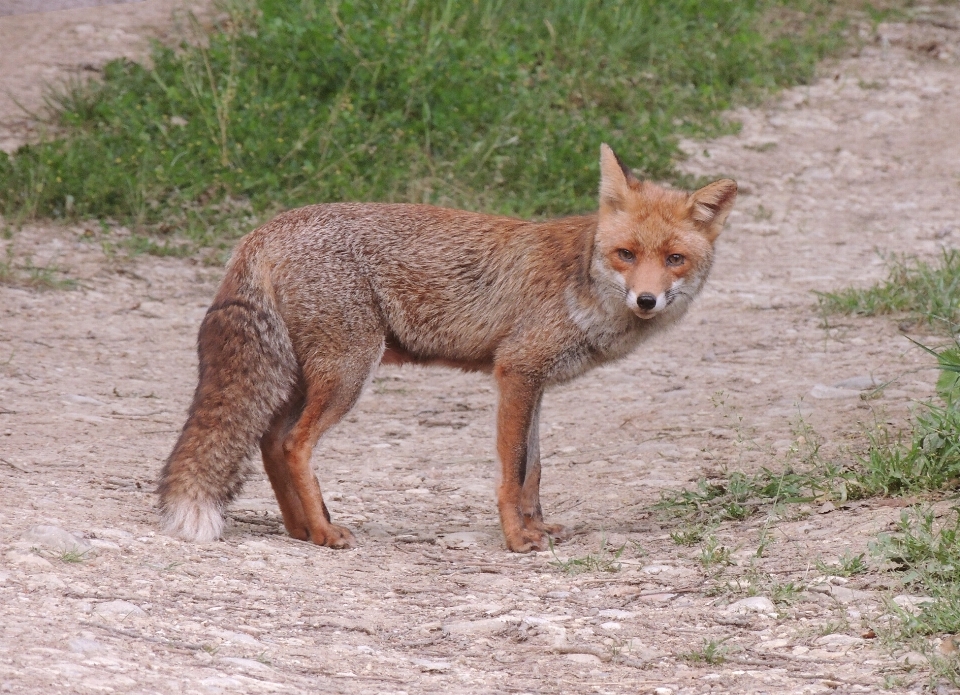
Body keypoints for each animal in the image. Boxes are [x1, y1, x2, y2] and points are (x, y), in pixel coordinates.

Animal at [161, 144, 740, 552]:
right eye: (626, 254)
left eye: (674, 259)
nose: (646, 300)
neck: (581, 282)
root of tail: (263, 231)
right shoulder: (516, 372)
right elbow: (512, 472)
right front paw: (517, 540)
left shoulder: (534, 383)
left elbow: (534, 470)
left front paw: (538, 527)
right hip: (347, 374)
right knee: (293, 445)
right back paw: (324, 534)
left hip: (304, 377)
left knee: (267, 441)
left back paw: (303, 528)